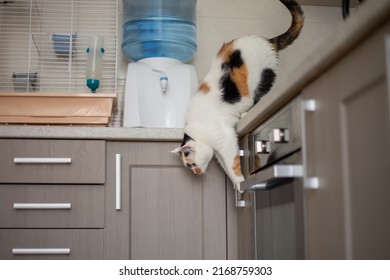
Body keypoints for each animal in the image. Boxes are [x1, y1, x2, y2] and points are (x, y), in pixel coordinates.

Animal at [171, 0, 304, 191]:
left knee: (260, 96)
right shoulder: (219, 151)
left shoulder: (226, 141)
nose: (196, 173)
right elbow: (227, 169)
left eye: (191, 164)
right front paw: (236, 185)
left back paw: (247, 112)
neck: (199, 132)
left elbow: (232, 165)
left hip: (260, 79)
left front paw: (241, 183)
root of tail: (266, 40)